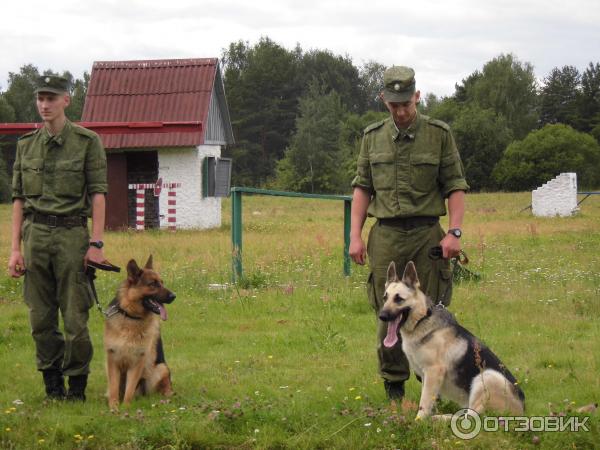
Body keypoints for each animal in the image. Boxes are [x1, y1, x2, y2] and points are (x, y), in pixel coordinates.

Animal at [103, 255, 176, 410]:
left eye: (162, 282)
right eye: (153, 284)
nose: (174, 296)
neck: (131, 317)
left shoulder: (137, 361)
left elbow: (130, 389)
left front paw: (126, 407)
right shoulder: (112, 359)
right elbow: (113, 387)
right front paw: (114, 406)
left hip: (161, 368)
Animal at [380, 260, 524, 418]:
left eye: (399, 299)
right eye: (385, 298)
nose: (381, 316)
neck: (422, 320)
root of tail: (523, 409)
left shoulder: (433, 372)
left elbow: (424, 402)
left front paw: (419, 421)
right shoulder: (426, 376)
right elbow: (429, 400)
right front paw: (427, 417)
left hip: (487, 377)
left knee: (471, 416)